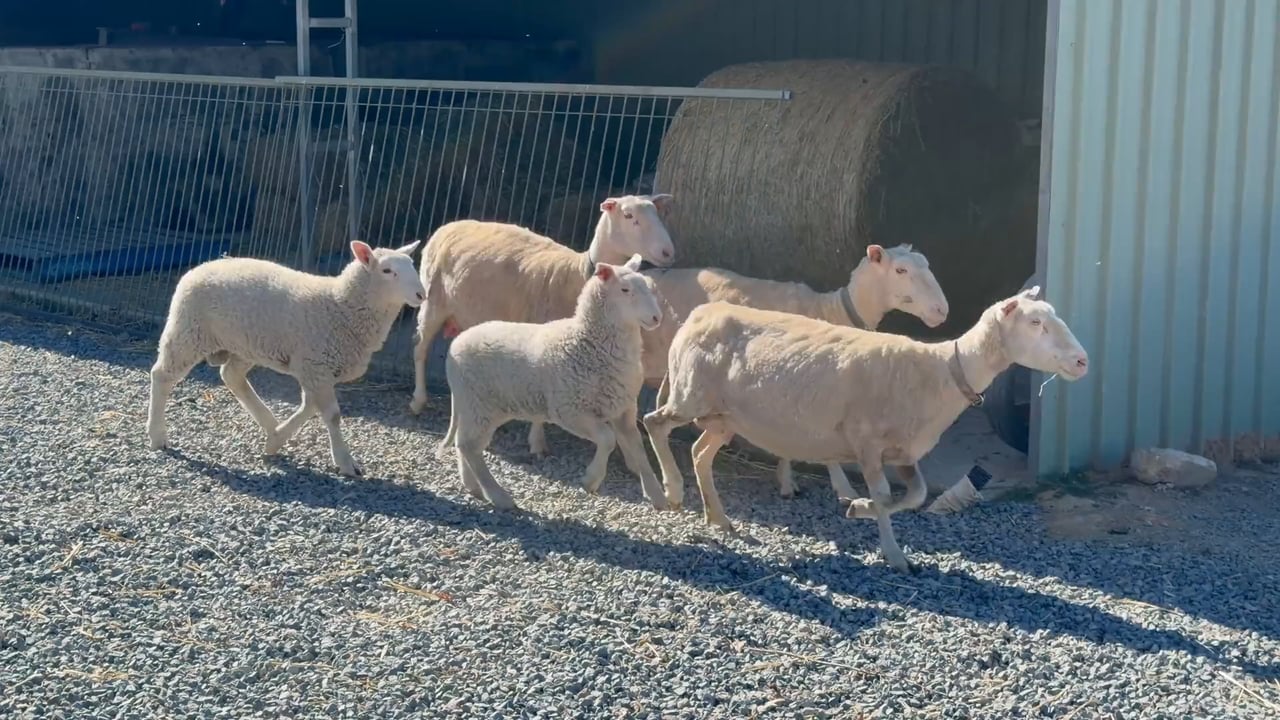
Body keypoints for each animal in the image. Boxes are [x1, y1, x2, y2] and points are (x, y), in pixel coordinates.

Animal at [146, 240, 426, 477]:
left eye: (413, 266)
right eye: (387, 270)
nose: (422, 295)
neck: (340, 304)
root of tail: (200, 267)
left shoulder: (314, 368)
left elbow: (310, 407)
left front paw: (275, 440)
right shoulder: (315, 365)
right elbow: (332, 415)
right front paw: (346, 463)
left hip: (246, 344)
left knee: (231, 375)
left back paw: (270, 424)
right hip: (189, 331)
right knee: (162, 375)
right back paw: (157, 436)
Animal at [409, 193, 676, 461]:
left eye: (657, 213)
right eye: (629, 216)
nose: (668, 252)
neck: (577, 274)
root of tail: (450, 225)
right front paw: (537, 442)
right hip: (433, 302)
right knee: (420, 350)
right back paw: (418, 401)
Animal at [438, 255, 667, 511]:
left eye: (648, 287)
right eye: (625, 290)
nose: (657, 318)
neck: (587, 340)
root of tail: (455, 345)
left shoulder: (623, 410)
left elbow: (638, 450)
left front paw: (657, 495)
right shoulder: (570, 410)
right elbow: (608, 439)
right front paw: (591, 480)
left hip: (476, 405)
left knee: (463, 443)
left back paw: (473, 487)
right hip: (479, 404)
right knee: (469, 446)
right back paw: (498, 495)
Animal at [642, 286, 1089, 572]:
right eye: (1036, 323)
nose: (1082, 361)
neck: (943, 371)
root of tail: (699, 314)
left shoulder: (904, 452)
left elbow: (915, 496)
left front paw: (858, 509)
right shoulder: (867, 442)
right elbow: (885, 495)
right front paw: (894, 554)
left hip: (723, 417)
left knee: (699, 452)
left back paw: (718, 518)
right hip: (691, 395)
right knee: (654, 424)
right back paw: (671, 492)